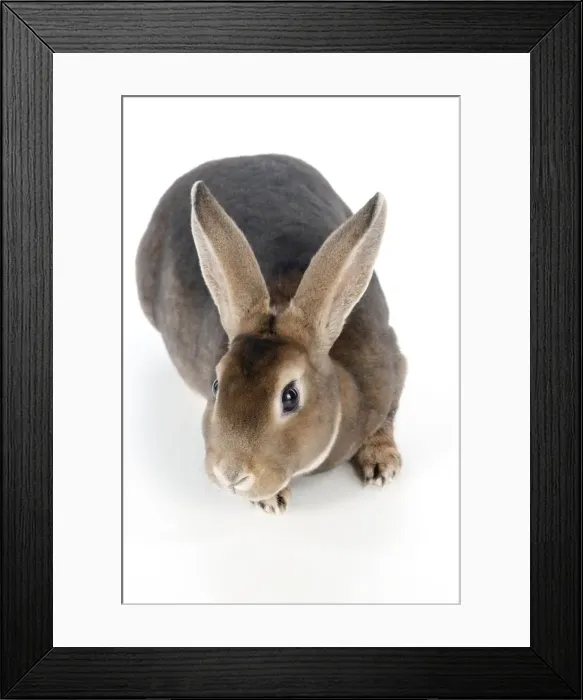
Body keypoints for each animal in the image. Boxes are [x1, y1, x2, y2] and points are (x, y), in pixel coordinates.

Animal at [136, 154, 407, 514]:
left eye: (290, 397)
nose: (230, 474)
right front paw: (271, 501)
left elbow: (388, 416)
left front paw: (381, 466)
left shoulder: (394, 367)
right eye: (216, 385)